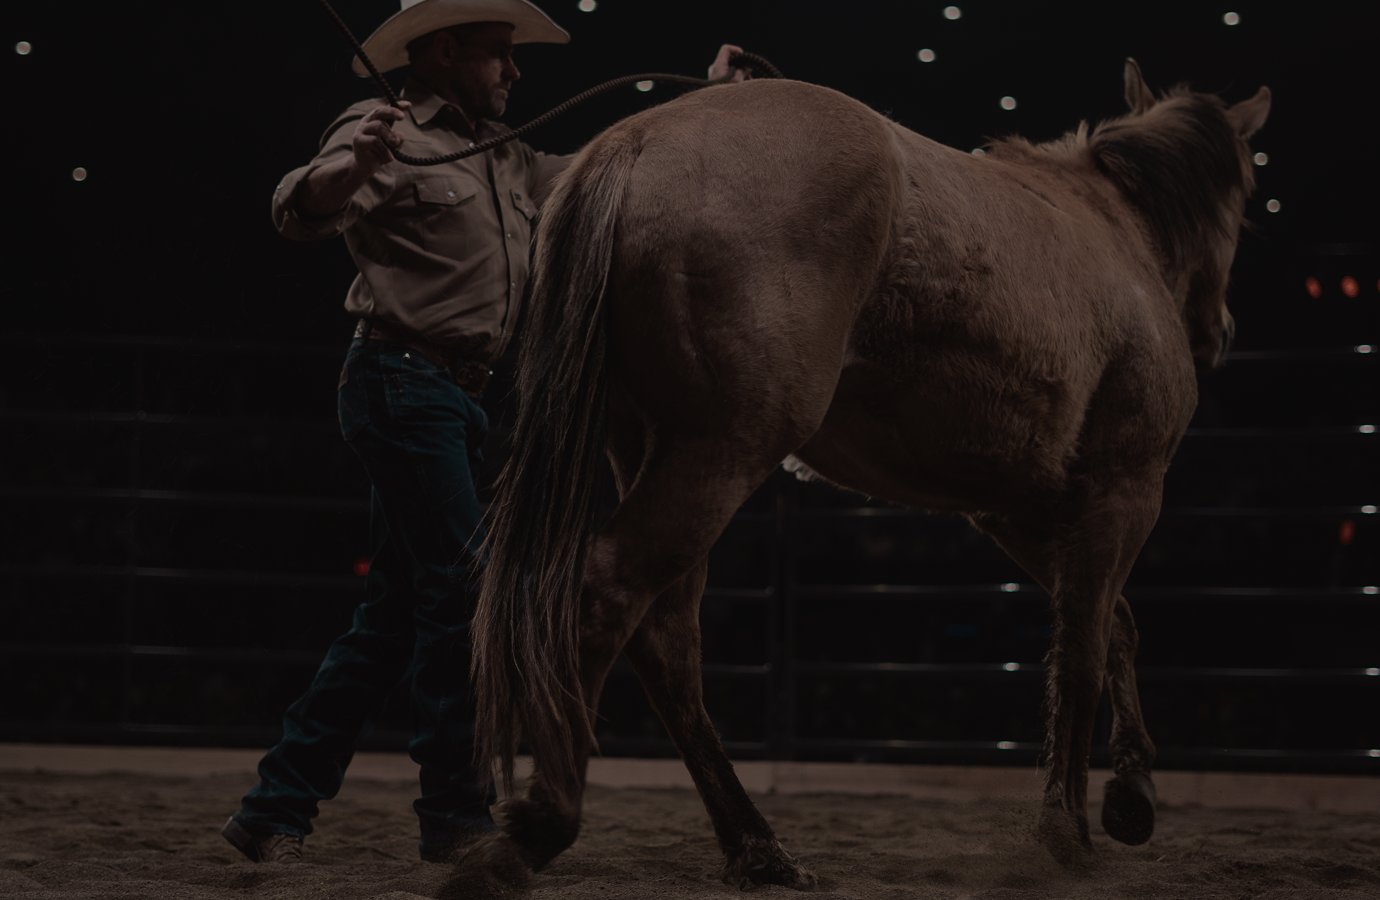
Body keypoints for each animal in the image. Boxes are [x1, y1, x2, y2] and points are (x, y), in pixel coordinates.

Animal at [465, 59, 1270, 888]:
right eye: (1244, 196)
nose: (1218, 332)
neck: (1112, 229)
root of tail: (632, 144)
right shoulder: (1124, 487)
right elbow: (1082, 645)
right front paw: (1071, 826)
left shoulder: (1016, 507)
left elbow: (1112, 624)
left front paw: (1132, 791)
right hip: (718, 454)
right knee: (606, 594)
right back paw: (546, 821)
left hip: (651, 449)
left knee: (664, 638)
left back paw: (757, 846)